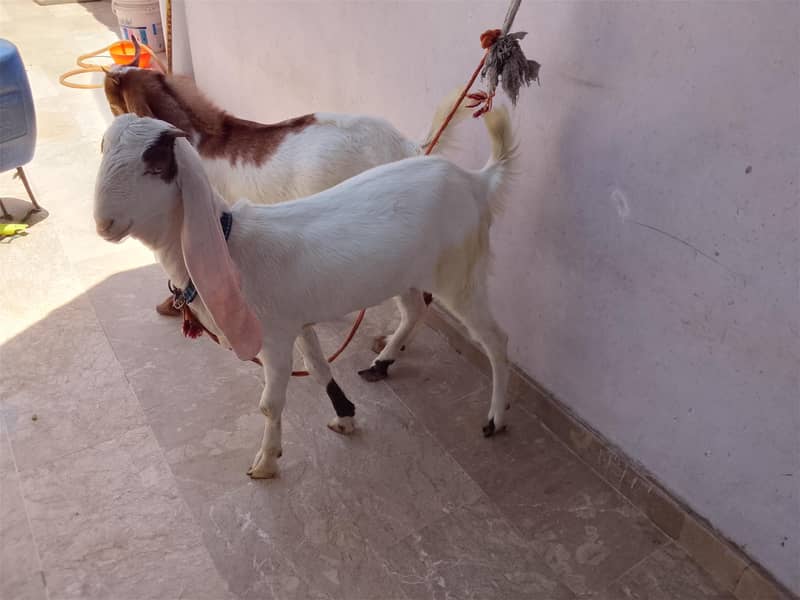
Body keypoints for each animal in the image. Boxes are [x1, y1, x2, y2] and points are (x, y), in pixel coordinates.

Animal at [94, 110, 515, 479]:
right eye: (103, 149)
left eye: (155, 164)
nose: (103, 223)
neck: (233, 248)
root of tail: (476, 181)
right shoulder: (296, 323)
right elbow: (318, 367)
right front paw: (345, 414)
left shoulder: (274, 341)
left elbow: (269, 405)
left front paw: (266, 463)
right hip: (408, 275)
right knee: (414, 310)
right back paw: (383, 361)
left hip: (460, 274)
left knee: (495, 339)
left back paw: (495, 418)